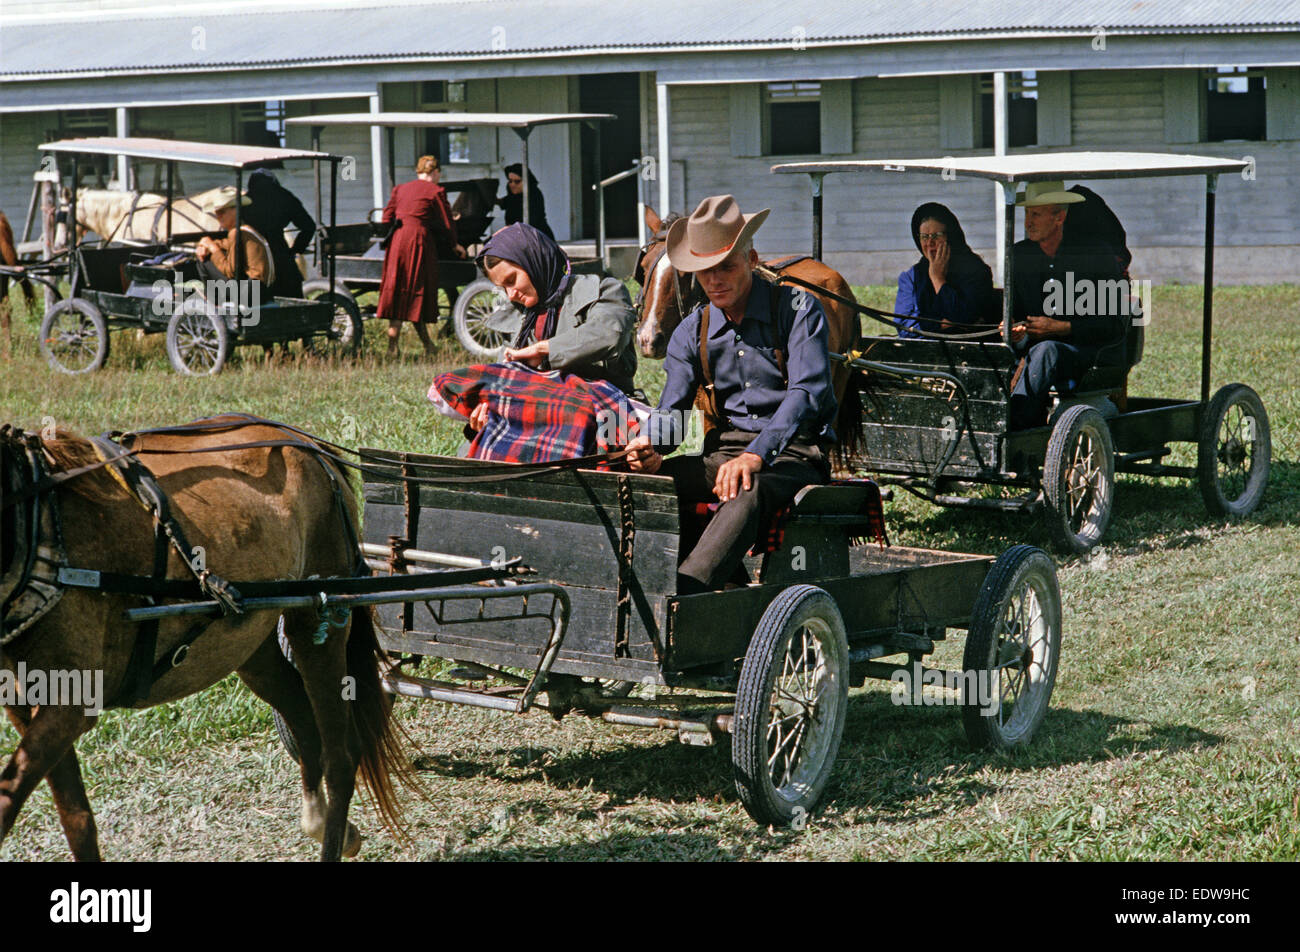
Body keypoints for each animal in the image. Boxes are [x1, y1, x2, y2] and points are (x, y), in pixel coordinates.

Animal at [1, 416, 405, 863]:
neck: (39, 522)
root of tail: (309, 444)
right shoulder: (26, 704)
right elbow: (77, 821)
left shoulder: (71, 703)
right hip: (249, 643)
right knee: (304, 722)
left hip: (319, 620)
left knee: (341, 755)